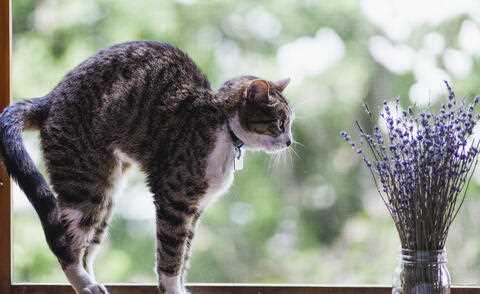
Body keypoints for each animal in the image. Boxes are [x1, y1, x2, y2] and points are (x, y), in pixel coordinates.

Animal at [0, 40, 294, 294]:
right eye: (280, 123)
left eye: (289, 124)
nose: (290, 141)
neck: (223, 125)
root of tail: (50, 97)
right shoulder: (175, 198)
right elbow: (171, 253)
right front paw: (173, 290)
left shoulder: (195, 208)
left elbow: (184, 253)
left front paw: (179, 286)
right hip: (85, 185)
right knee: (64, 242)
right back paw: (85, 284)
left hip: (107, 192)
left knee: (87, 246)